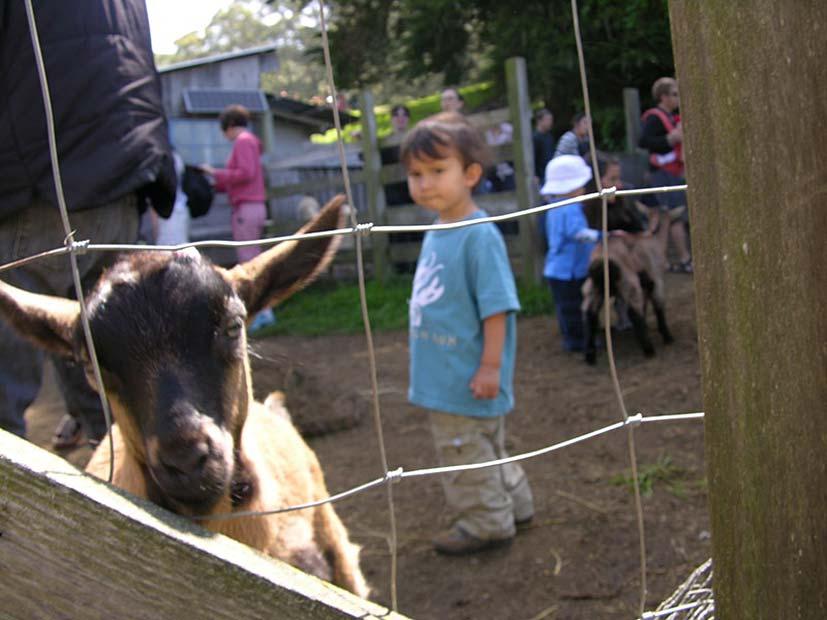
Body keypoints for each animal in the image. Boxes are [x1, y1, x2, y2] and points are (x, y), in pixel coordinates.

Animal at [580, 197, 676, 364]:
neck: (654, 238)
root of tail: (600, 261)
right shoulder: (657, 279)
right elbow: (658, 306)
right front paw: (667, 337)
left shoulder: (647, 284)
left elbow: (645, 306)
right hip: (629, 283)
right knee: (633, 312)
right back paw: (649, 349)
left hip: (593, 288)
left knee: (590, 314)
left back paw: (590, 355)